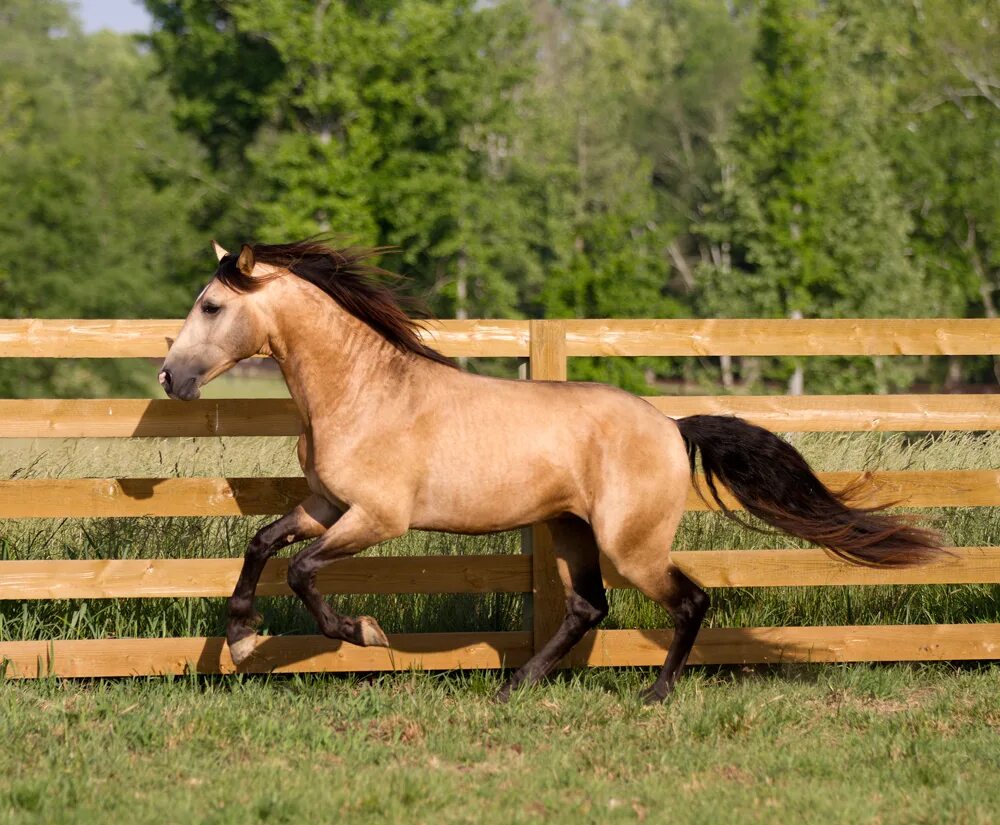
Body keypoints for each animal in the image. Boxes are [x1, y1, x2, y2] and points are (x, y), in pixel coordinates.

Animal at [158, 240, 944, 700]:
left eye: (212, 305)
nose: (170, 376)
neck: (363, 392)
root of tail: (672, 426)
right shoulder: (325, 506)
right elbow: (263, 544)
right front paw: (241, 636)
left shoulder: (376, 517)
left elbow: (302, 572)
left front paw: (363, 632)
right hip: (571, 530)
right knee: (586, 606)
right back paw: (515, 686)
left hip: (632, 544)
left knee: (689, 599)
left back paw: (655, 694)